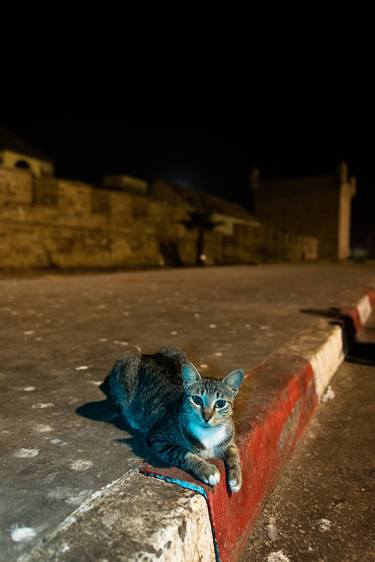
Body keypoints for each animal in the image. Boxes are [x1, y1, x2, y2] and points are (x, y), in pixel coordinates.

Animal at [101, 346, 245, 490]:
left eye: (220, 403)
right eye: (197, 399)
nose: (207, 417)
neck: (208, 433)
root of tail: (147, 355)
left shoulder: (228, 439)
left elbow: (233, 452)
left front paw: (236, 478)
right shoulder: (158, 438)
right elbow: (182, 453)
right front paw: (207, 470)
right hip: (123, 373)